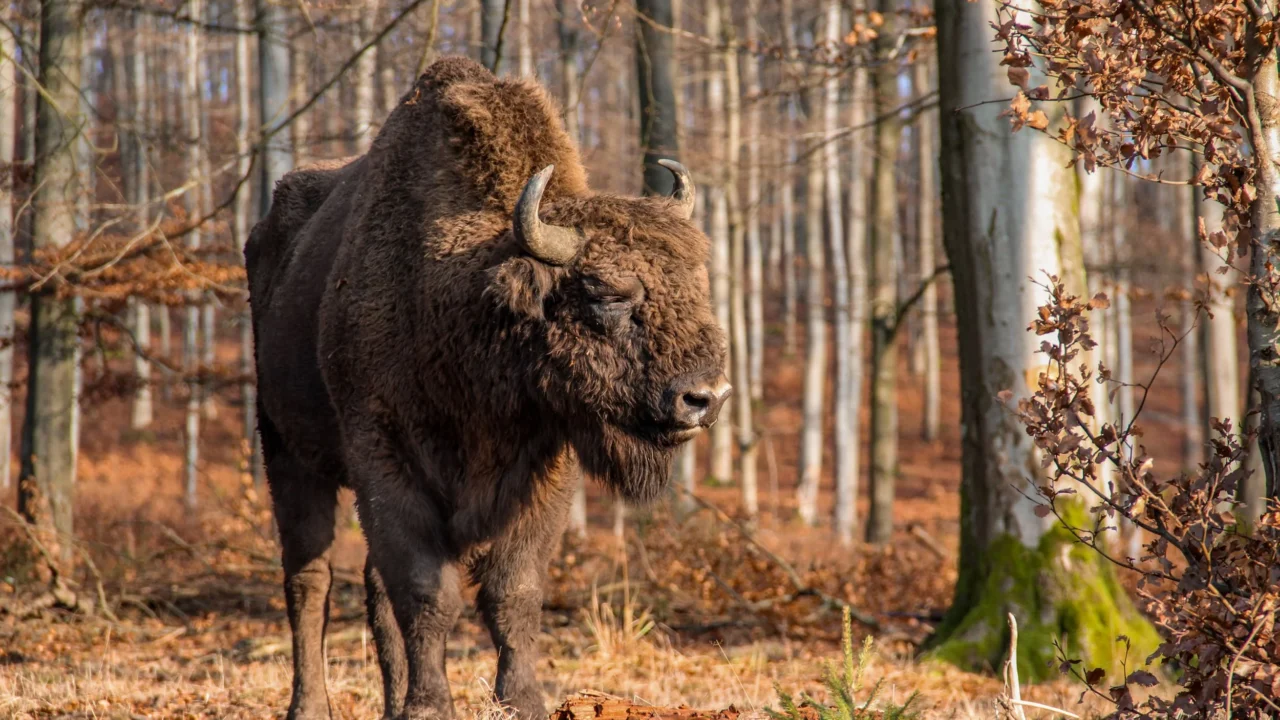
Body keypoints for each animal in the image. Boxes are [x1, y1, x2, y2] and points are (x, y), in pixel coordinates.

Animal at [246, 56, 729, 720]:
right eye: (606, 294)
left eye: (698, 284)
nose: (706, 397)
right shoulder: (385, 459)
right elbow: (427, 592)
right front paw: (429, 707)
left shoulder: (547, 469)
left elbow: (512, 591)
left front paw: (522, 701)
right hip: (286, 449)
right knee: (309, 579)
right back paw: (311, 706)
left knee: (369, 585)